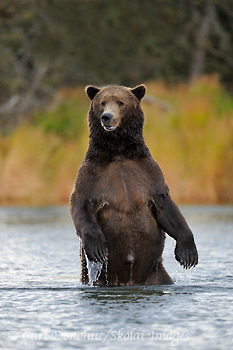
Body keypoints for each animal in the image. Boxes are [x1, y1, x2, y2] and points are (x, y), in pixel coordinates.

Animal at [70, 83, 198, 286]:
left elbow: (166, 206)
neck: (118, 151)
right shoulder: (92, 175)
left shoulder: (148, 173)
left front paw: (188, 254)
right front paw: (97, 248)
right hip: (102, 279)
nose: (107, 117)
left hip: (157, 274)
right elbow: (81, 205)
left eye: (120, 102)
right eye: (102, 102)